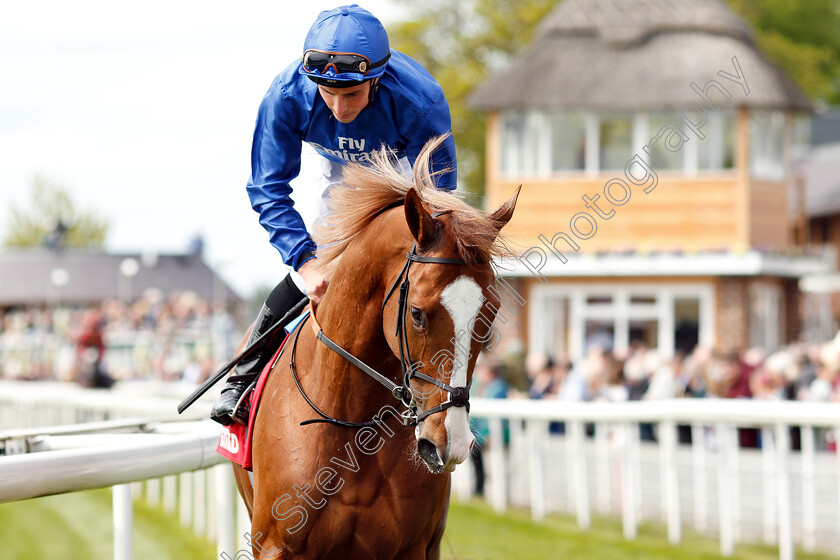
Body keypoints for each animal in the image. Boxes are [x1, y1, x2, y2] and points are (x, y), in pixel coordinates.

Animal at [231, 137, 520, 560]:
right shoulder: (276, 546)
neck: (353, 424)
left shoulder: (413, 547)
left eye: (490, 313)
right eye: (417, 313)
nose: (449, 442)